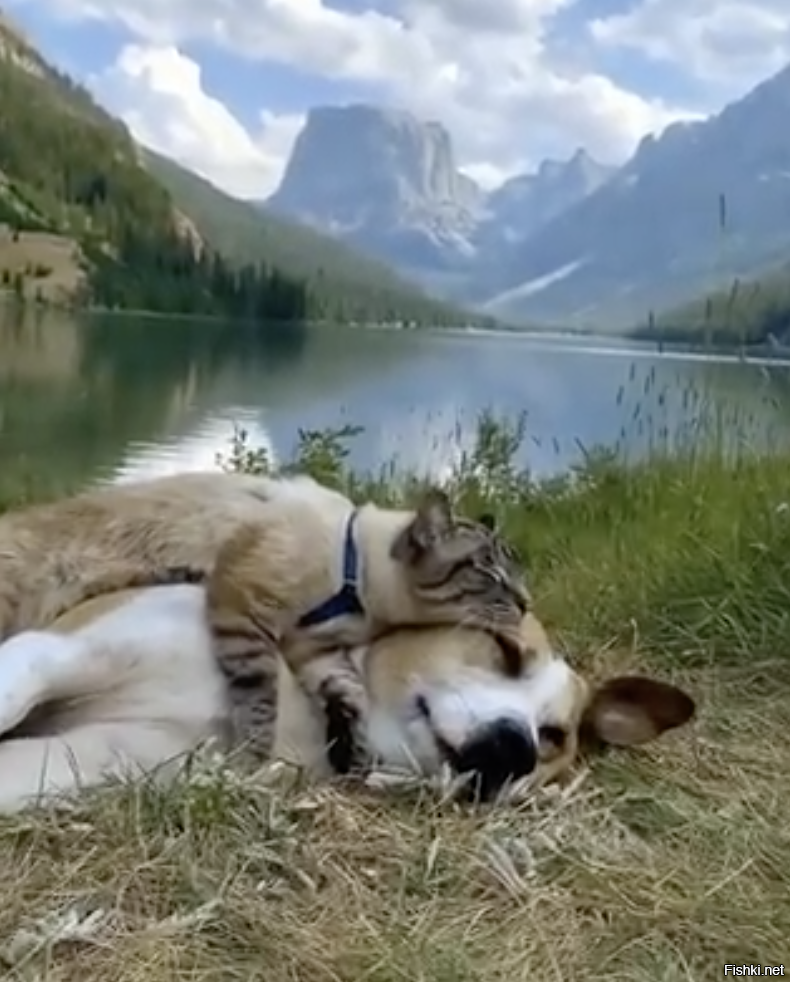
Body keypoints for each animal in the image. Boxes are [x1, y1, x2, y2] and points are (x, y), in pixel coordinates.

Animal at [0, 470, 530, 770]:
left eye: (517, 575)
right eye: (490, 574)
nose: (525, 602)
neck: (357, 595)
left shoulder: (313, 648)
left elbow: (349, 696)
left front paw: (351, 750)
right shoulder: (243, 610)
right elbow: (260, 699)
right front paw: (254, 757)